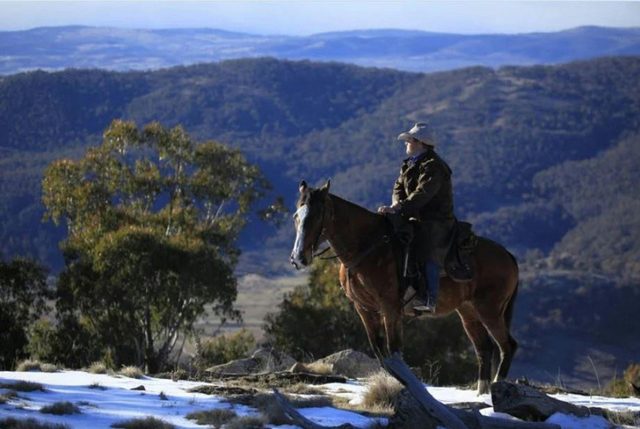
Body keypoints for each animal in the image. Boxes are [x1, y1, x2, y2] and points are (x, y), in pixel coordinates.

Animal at [290, 180, 519, 394]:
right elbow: (379, 351)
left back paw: (497, 387)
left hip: (490, 310)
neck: (368, 246)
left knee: (507, 345)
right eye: (296, 216)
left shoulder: (390, 308)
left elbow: (394, 351)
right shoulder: (364, 309)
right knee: (484, 348)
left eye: (317, 216)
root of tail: (507, 255)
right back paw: (482, 393)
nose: (298, 258)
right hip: (468, 312)